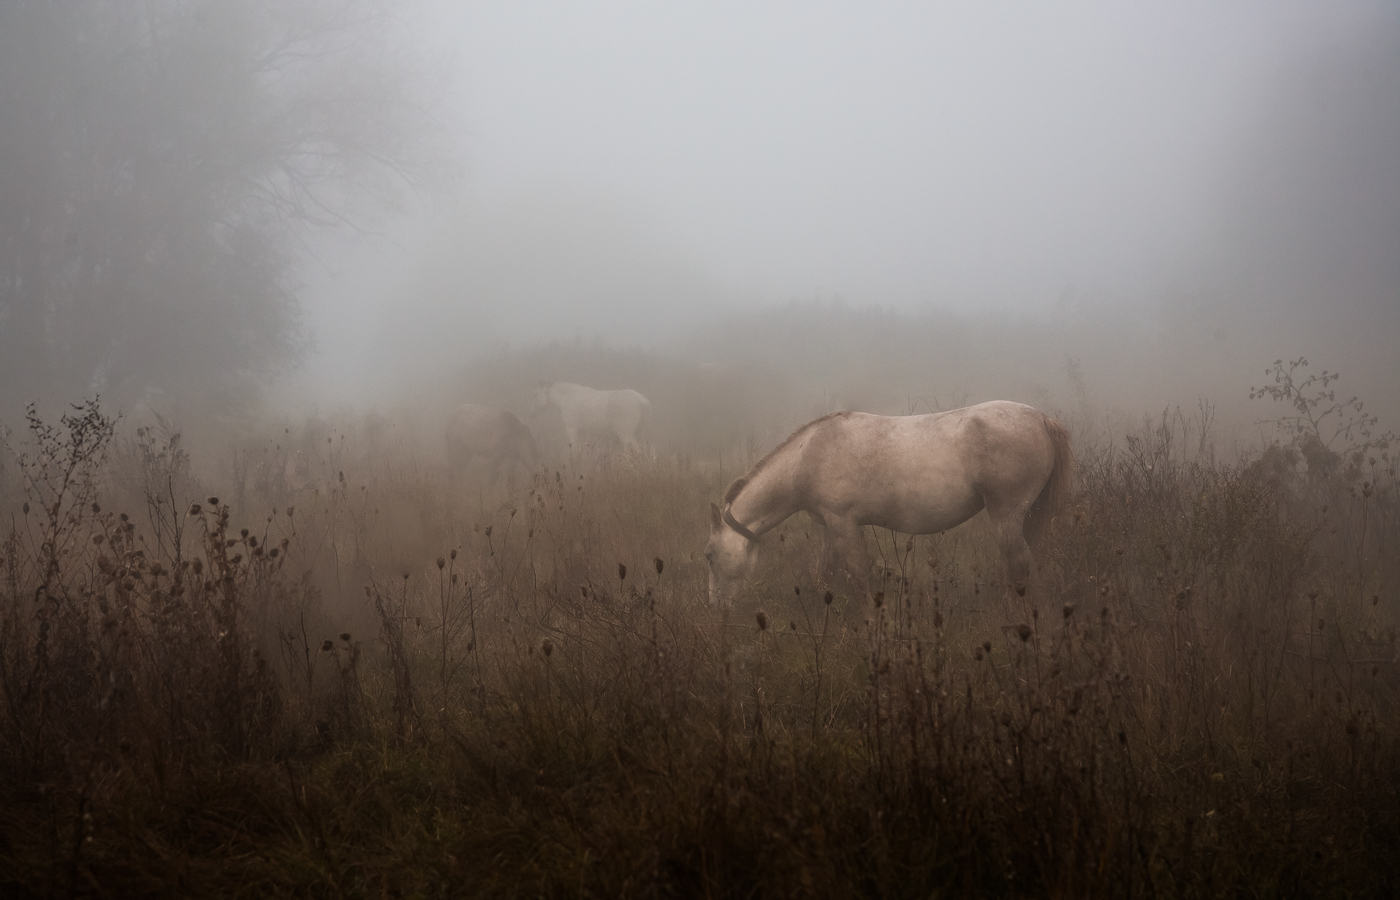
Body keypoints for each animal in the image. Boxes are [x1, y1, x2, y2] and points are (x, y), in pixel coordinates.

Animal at [705, 400, 1075, 613]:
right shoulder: (829, 526)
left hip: (1007, 514)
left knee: (1018, 562)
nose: (717, 608)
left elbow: (858, 573)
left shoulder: (842, 522)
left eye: (709, 556)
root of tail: (1042, 420)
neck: (807, 456)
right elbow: (826, 571)